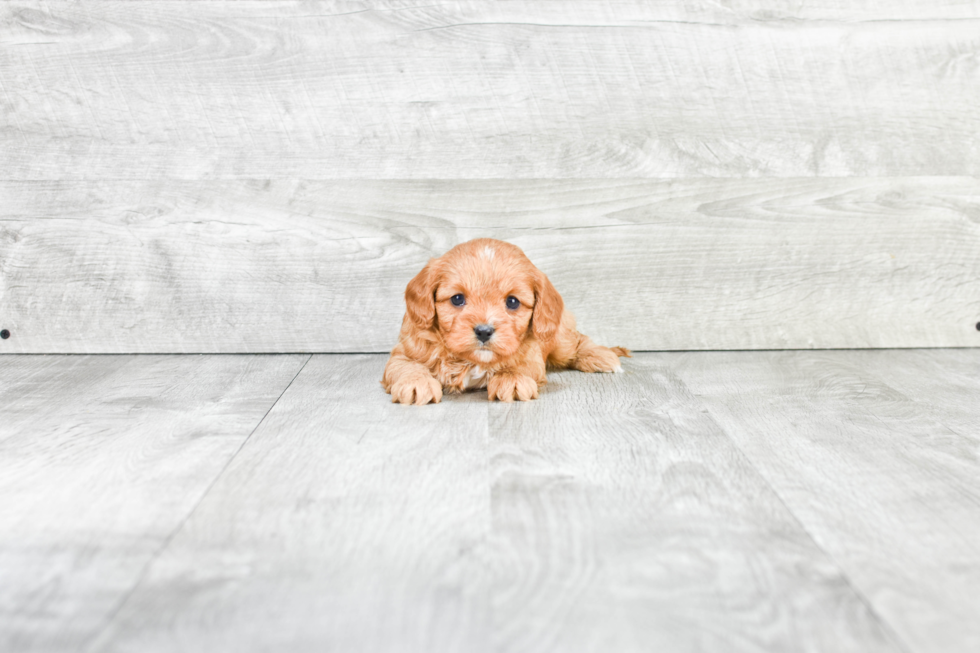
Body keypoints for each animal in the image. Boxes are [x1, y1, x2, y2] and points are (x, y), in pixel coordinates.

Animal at [378, 238, 632, 402]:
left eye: (512, 302)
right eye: (457, 299)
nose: (484, 331)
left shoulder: (532, 355)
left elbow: (519, 366)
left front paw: (512, 379)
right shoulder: (404, 351)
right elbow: (405, 365)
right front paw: (415, 383)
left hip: (559, 340)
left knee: (577, 341)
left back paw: (600, 356)